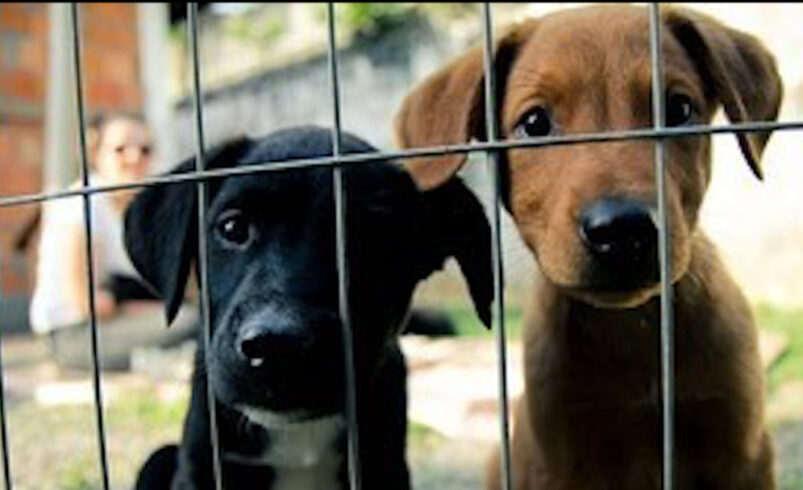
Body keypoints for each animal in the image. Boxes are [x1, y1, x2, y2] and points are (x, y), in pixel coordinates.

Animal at [396, 4, 784, 490]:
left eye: (678, 109)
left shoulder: (742, 453)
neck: (632, 329)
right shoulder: (561, 460)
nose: (621, 230)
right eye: (535, 123)